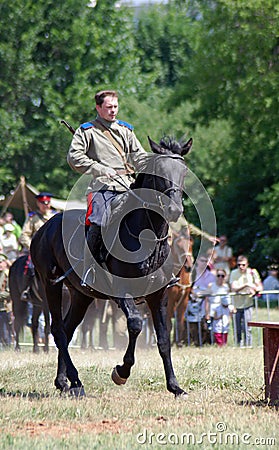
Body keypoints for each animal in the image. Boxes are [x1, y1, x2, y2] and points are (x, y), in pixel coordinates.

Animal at [30, 135, 192, 396]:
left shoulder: (158, 295)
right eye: (159, 171)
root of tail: (43, 229)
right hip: (51, 285)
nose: (174, 209)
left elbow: (164, 338)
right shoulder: (121, 292)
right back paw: (76, 381)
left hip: (81, 295)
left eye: (183, 171)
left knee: (68, 328)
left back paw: (63, 381)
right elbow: (135, 324)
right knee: (58, 331)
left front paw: (175, 386)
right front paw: (122, 372)